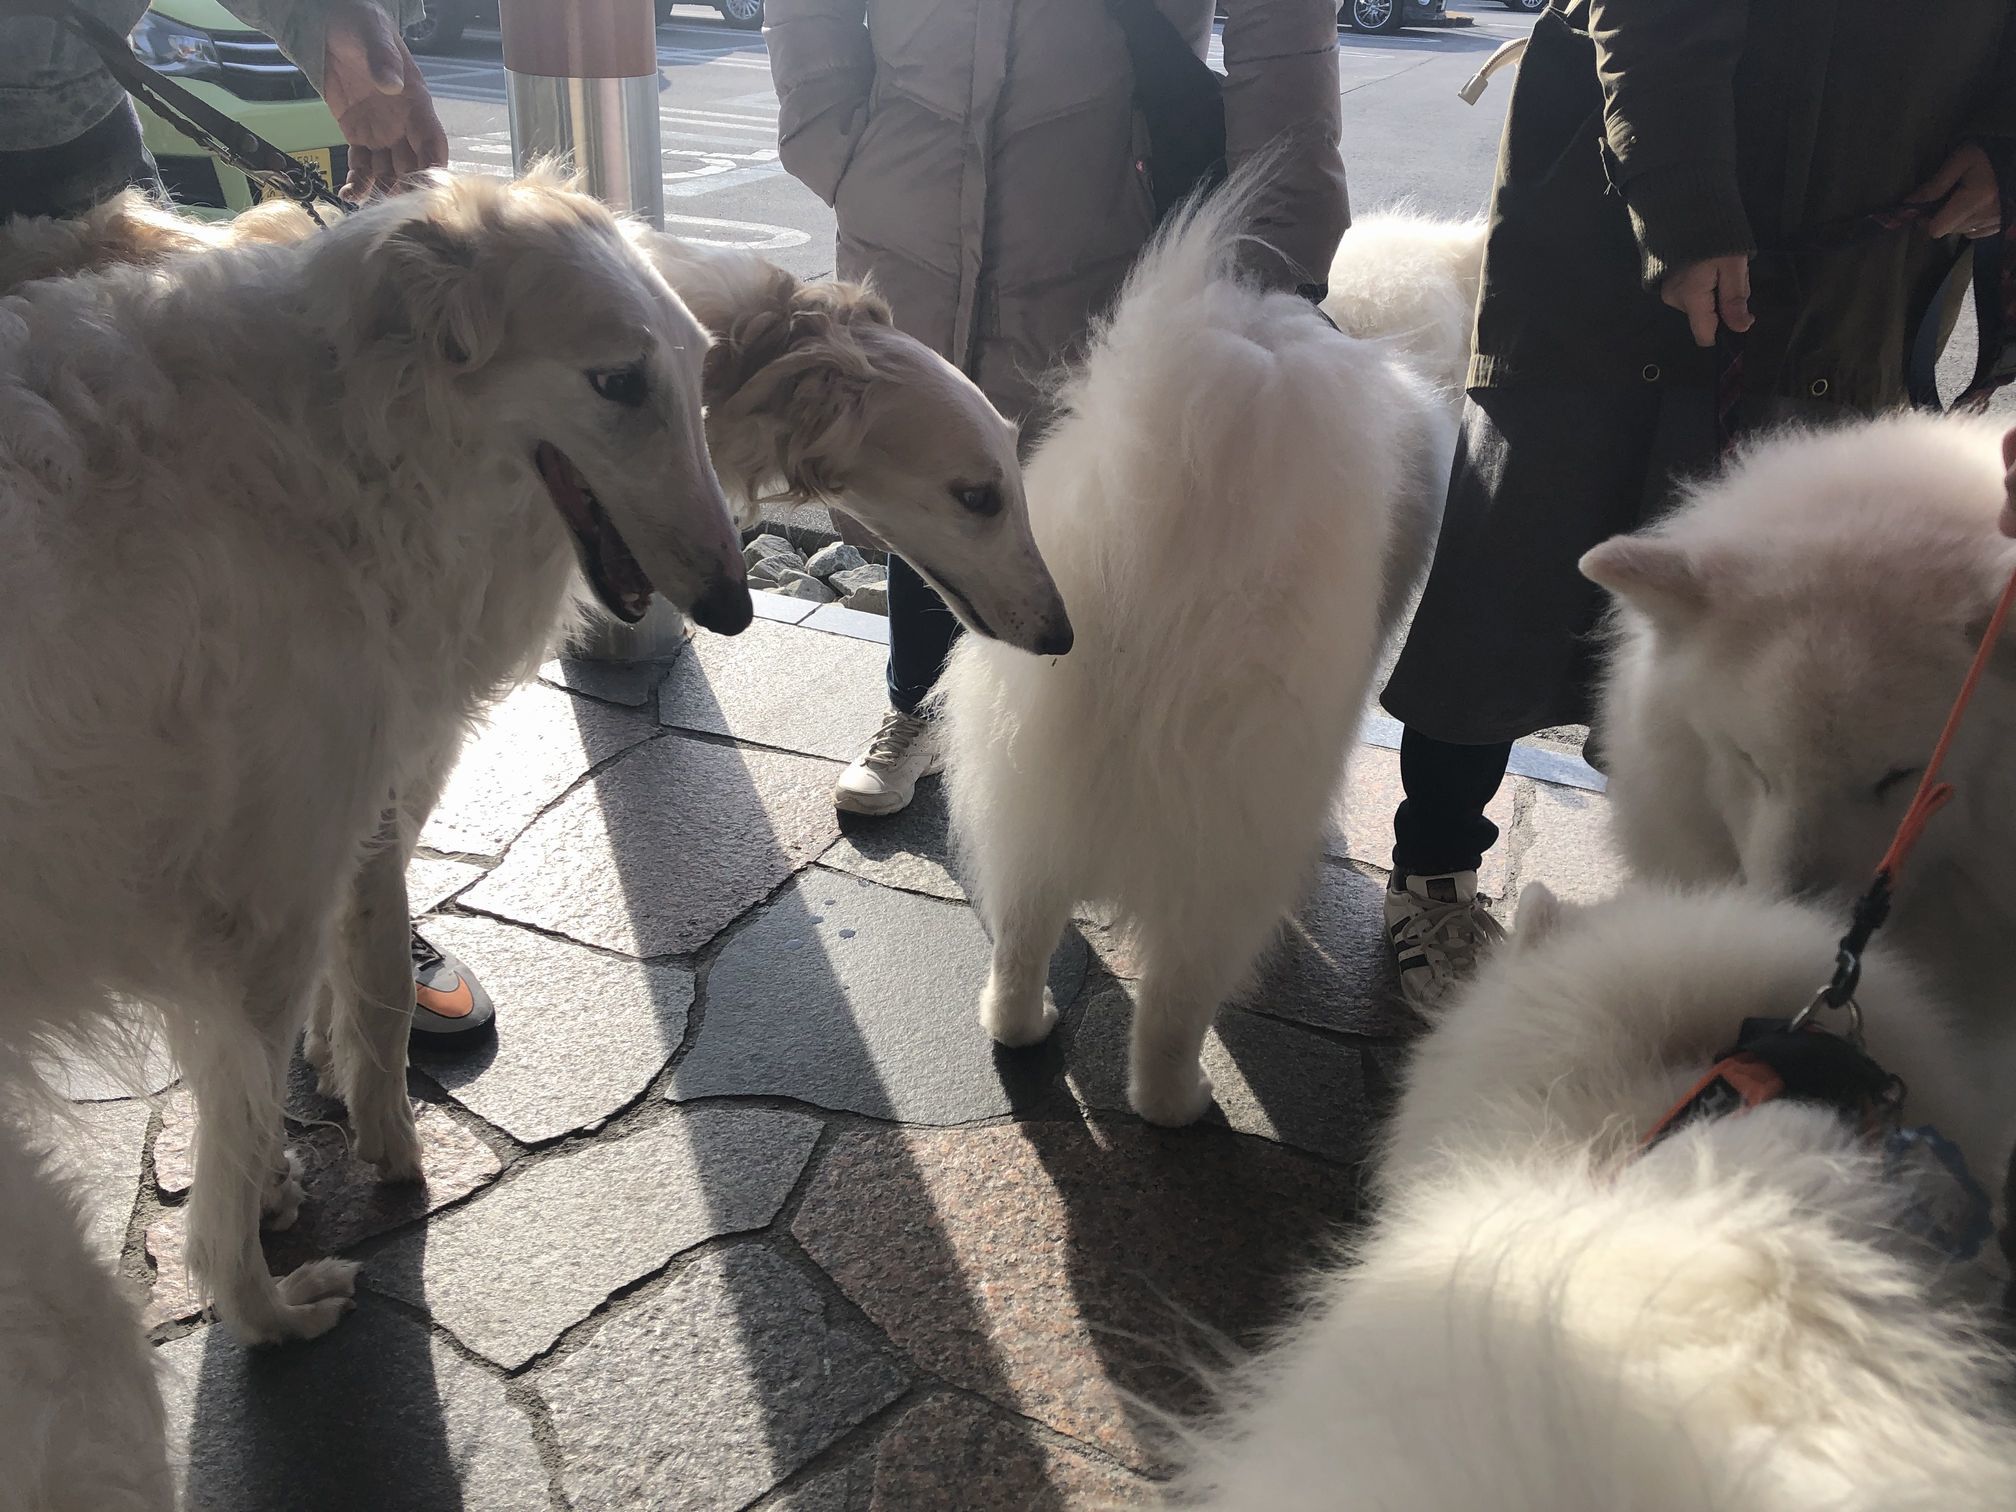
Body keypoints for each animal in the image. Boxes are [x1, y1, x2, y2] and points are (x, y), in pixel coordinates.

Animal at [927, 177, 1451, 1128]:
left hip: (1024, 785)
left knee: (1021, 935)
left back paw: (1022, 1026)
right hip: (1223, 849)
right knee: (1174, 1004)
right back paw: (1177, 1102)